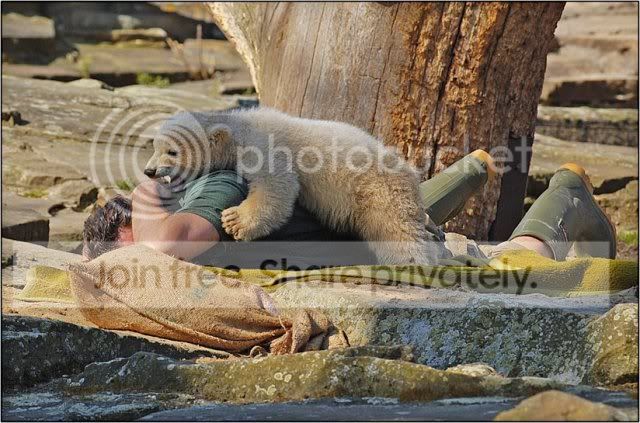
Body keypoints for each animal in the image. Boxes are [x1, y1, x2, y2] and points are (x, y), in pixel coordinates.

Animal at [144, 107, 439, 264]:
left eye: (171, 152)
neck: (236, 129)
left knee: (393, 228)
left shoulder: (263, 145)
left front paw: (236, 221)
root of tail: (409, 171)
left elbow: (277, 185)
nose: (149, 171)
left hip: (378, 188)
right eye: (155, 147)